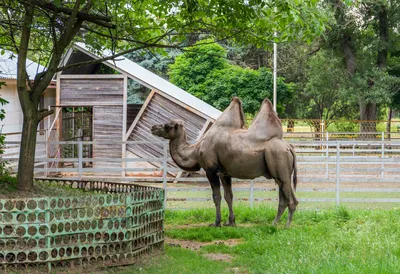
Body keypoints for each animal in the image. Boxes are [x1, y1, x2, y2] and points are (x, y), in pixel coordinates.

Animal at [152, 97, 298, 228]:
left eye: (167, 126)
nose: (153, 127)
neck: (196, 150)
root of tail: (289, 147)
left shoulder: (211, 170)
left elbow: (217, 196)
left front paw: (216, 223)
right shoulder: (224, 173)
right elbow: (229, 196)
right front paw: (231, 222)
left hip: (280, 163)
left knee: (291, 200)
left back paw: (287, 226)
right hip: (278, 173)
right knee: (283, 199)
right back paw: (274, 224)